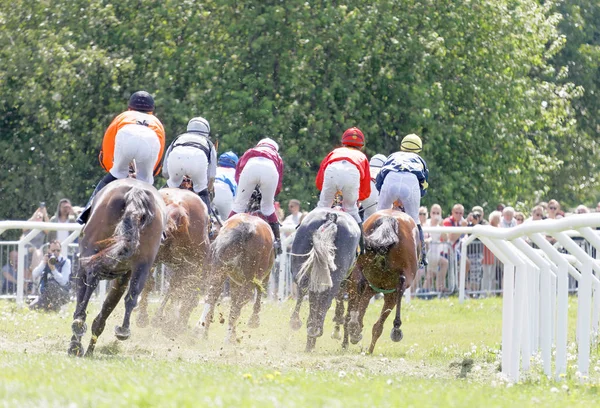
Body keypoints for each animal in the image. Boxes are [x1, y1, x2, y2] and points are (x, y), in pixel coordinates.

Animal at [68, 177, 165, 356]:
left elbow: (83, 297)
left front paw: (76, 344)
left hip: (92, 253)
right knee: (132, 295)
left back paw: (78, 328)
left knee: (91, 280)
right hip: (144, 264)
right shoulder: (124, 275)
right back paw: (123, 330)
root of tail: (135, 192)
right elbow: (109, 305)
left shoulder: (87, 263)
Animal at [197, 212, 274, 342]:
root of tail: (245, 229)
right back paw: (228, 338)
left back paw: (201, 331)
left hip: (219, 271)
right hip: (248, 282)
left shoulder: (234, 281)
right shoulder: (259, 278)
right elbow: (257, 295)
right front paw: (254, 320)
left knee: (211, 296)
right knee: (237, 308)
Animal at [290, 209, 360, 352]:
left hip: (302, 268)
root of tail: (332, 217)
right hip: (336, 278)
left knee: (305, 291)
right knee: (326, 300)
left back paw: (305, 327)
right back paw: (316, 330)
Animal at [340, 210, 420, 354]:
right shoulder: (383, 291)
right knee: (400, 286)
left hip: (360, 267)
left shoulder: (372, 289)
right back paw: (395, 328)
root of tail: (389, 219)